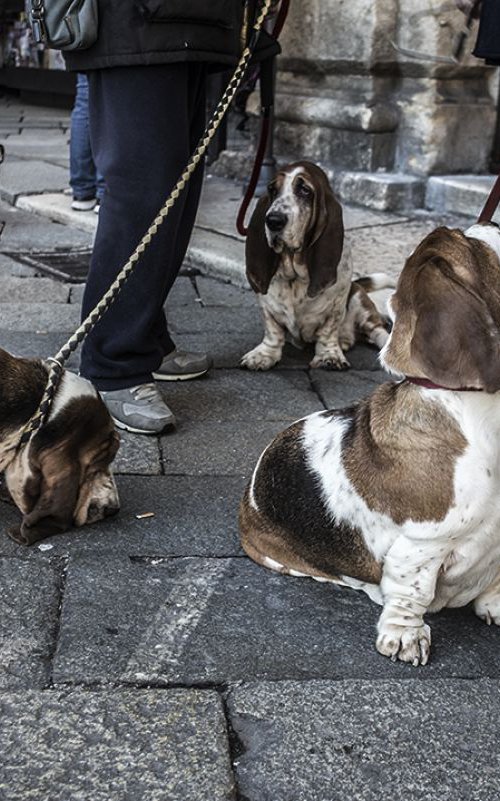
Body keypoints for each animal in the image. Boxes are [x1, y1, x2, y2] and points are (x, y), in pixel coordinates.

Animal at [240, 163, 392, 376]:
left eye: (304, 190)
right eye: (272, 189)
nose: (273, 220)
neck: (295, 275)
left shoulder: (336, 306)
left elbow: (328, 331)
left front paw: (330, 356)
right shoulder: (267, 305)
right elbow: (273, 331)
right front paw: (264, 355)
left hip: (359, 301)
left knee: (377, 331)